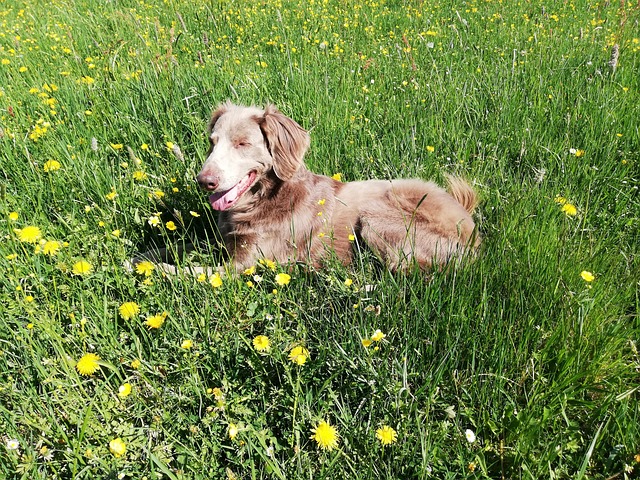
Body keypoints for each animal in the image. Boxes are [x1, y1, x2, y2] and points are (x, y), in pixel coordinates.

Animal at [131, 103, 480, 276]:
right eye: (212, 142)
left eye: (242, 143)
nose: (205, 181)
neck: (265, 198)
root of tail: (471, 227)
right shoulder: (224, 241)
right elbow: (175, 244)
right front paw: (138, 256)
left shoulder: (243, 264)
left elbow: (190, 272)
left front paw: (153, 269)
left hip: (377, 218)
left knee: (407, 273)